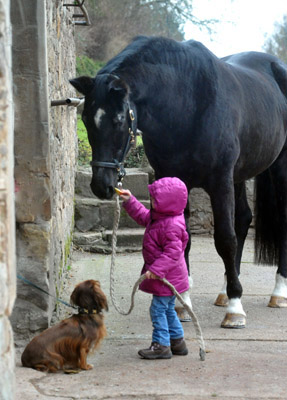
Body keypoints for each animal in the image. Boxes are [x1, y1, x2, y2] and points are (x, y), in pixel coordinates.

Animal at [71, 36, 287, 328]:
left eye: (118, 120)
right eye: (85, 119)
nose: (100, 185)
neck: (187, 103)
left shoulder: (220, 181)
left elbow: (225, 239)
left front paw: (235, 309)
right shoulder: (176, 179)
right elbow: (183, 240)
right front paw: (183, 304)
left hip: (278, 167)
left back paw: (278, 292)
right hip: (239, 176)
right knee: (243, 219)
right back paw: (224, 291)